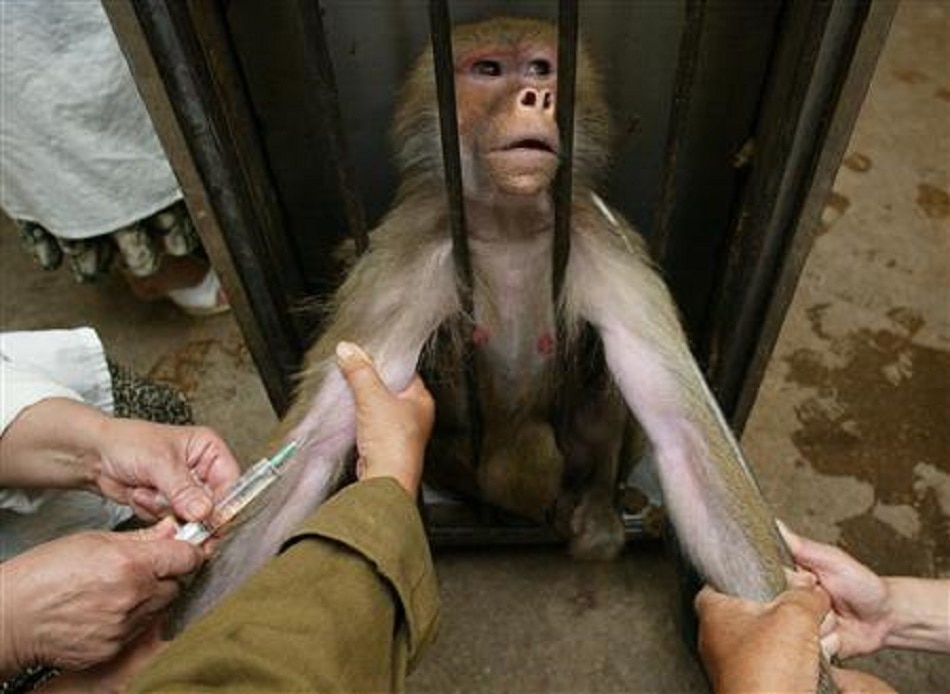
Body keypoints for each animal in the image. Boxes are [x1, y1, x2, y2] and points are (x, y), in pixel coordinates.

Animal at [178, 17, 795, 635]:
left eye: (542, 68)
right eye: (490, 70)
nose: (538, 97)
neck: (508, 222)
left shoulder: (604, 243)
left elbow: (685, 437)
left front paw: (782, 631)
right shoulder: (405, 262)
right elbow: (311, 451)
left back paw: (596, 503)